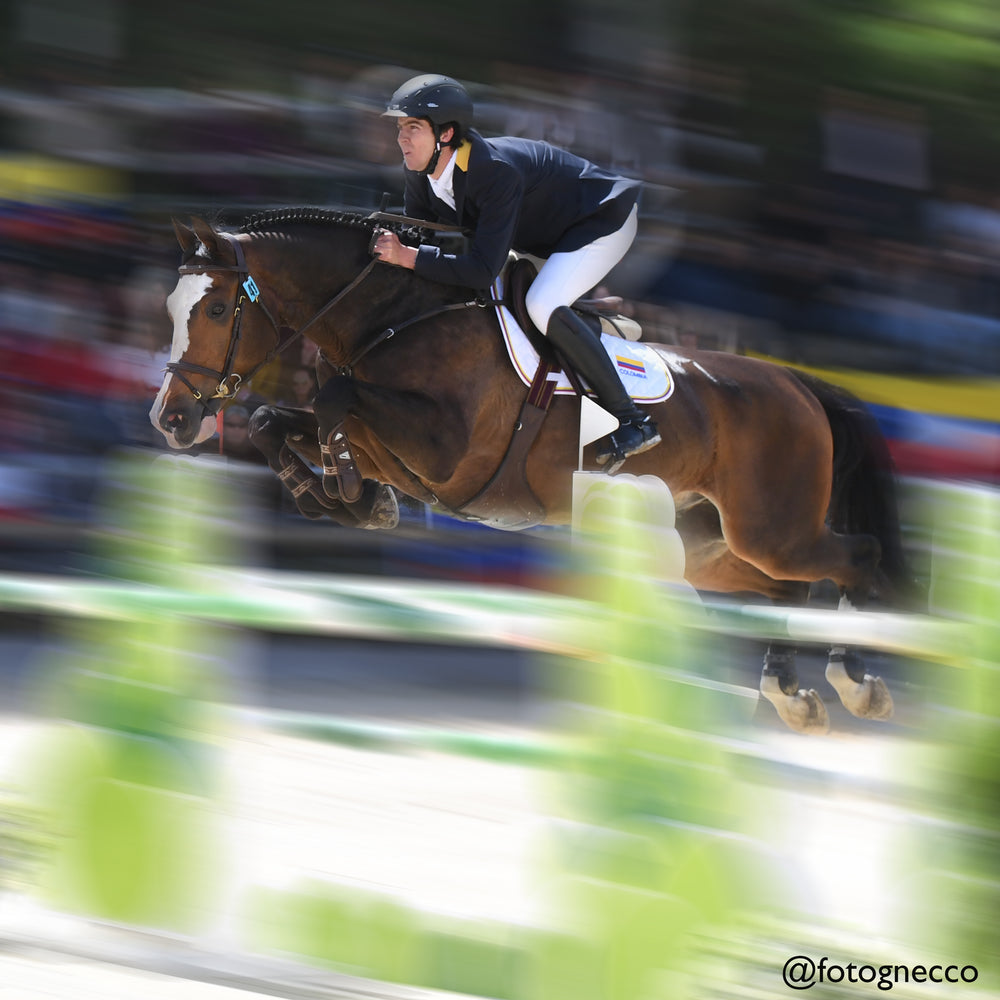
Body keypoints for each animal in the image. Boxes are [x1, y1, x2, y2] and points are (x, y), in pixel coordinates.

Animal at [150, 209, 916, 735]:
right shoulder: (394, 443)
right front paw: (342, 497)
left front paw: (349, 495)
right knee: (781, 589)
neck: (395, 315)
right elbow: (275, 419)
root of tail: (798, 383)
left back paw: (856, 680)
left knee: (851, 559)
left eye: (215, 308)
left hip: (771, 527)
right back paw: (791, 693)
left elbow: (334, 399)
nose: (171, 419)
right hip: (712, 544)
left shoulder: (442, 449)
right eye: (170, 310)